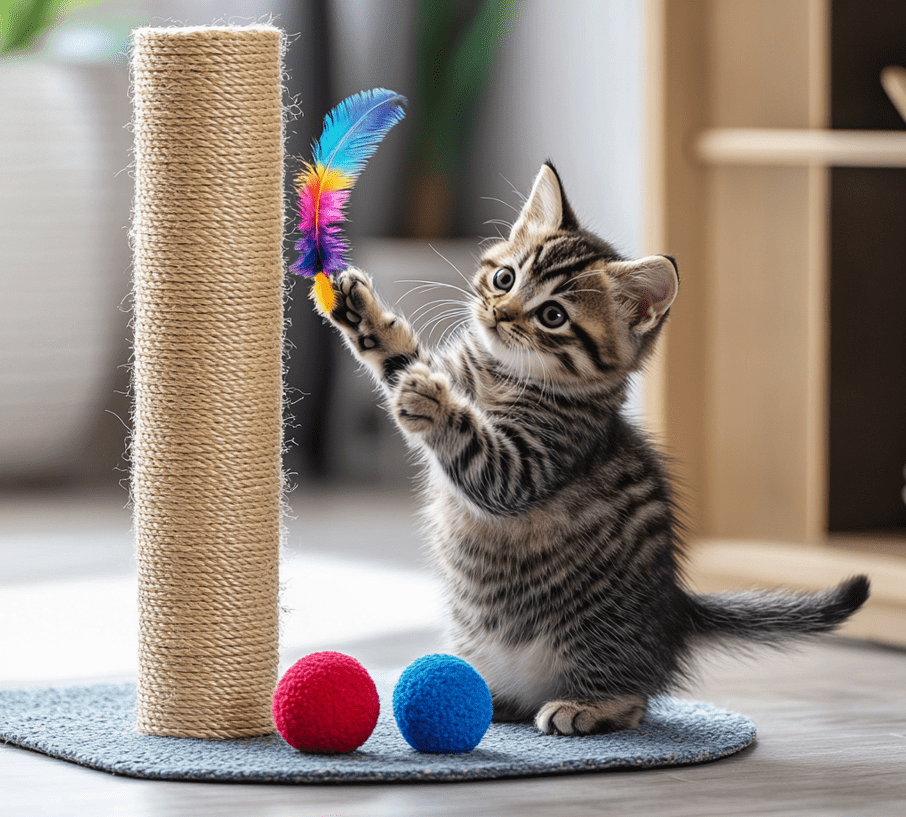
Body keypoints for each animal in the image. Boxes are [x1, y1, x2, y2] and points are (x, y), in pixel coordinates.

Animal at [320, 163, 868, 736]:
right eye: (505, 278)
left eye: (553, 316)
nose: (500, 313)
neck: (498, 376)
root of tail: (675, 612)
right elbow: (401, 360)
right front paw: (365, 318)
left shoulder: (529, 465)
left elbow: (475, 444)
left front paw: (432, 401)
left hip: (596, 631)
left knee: (635, 700)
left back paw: (588, 706)